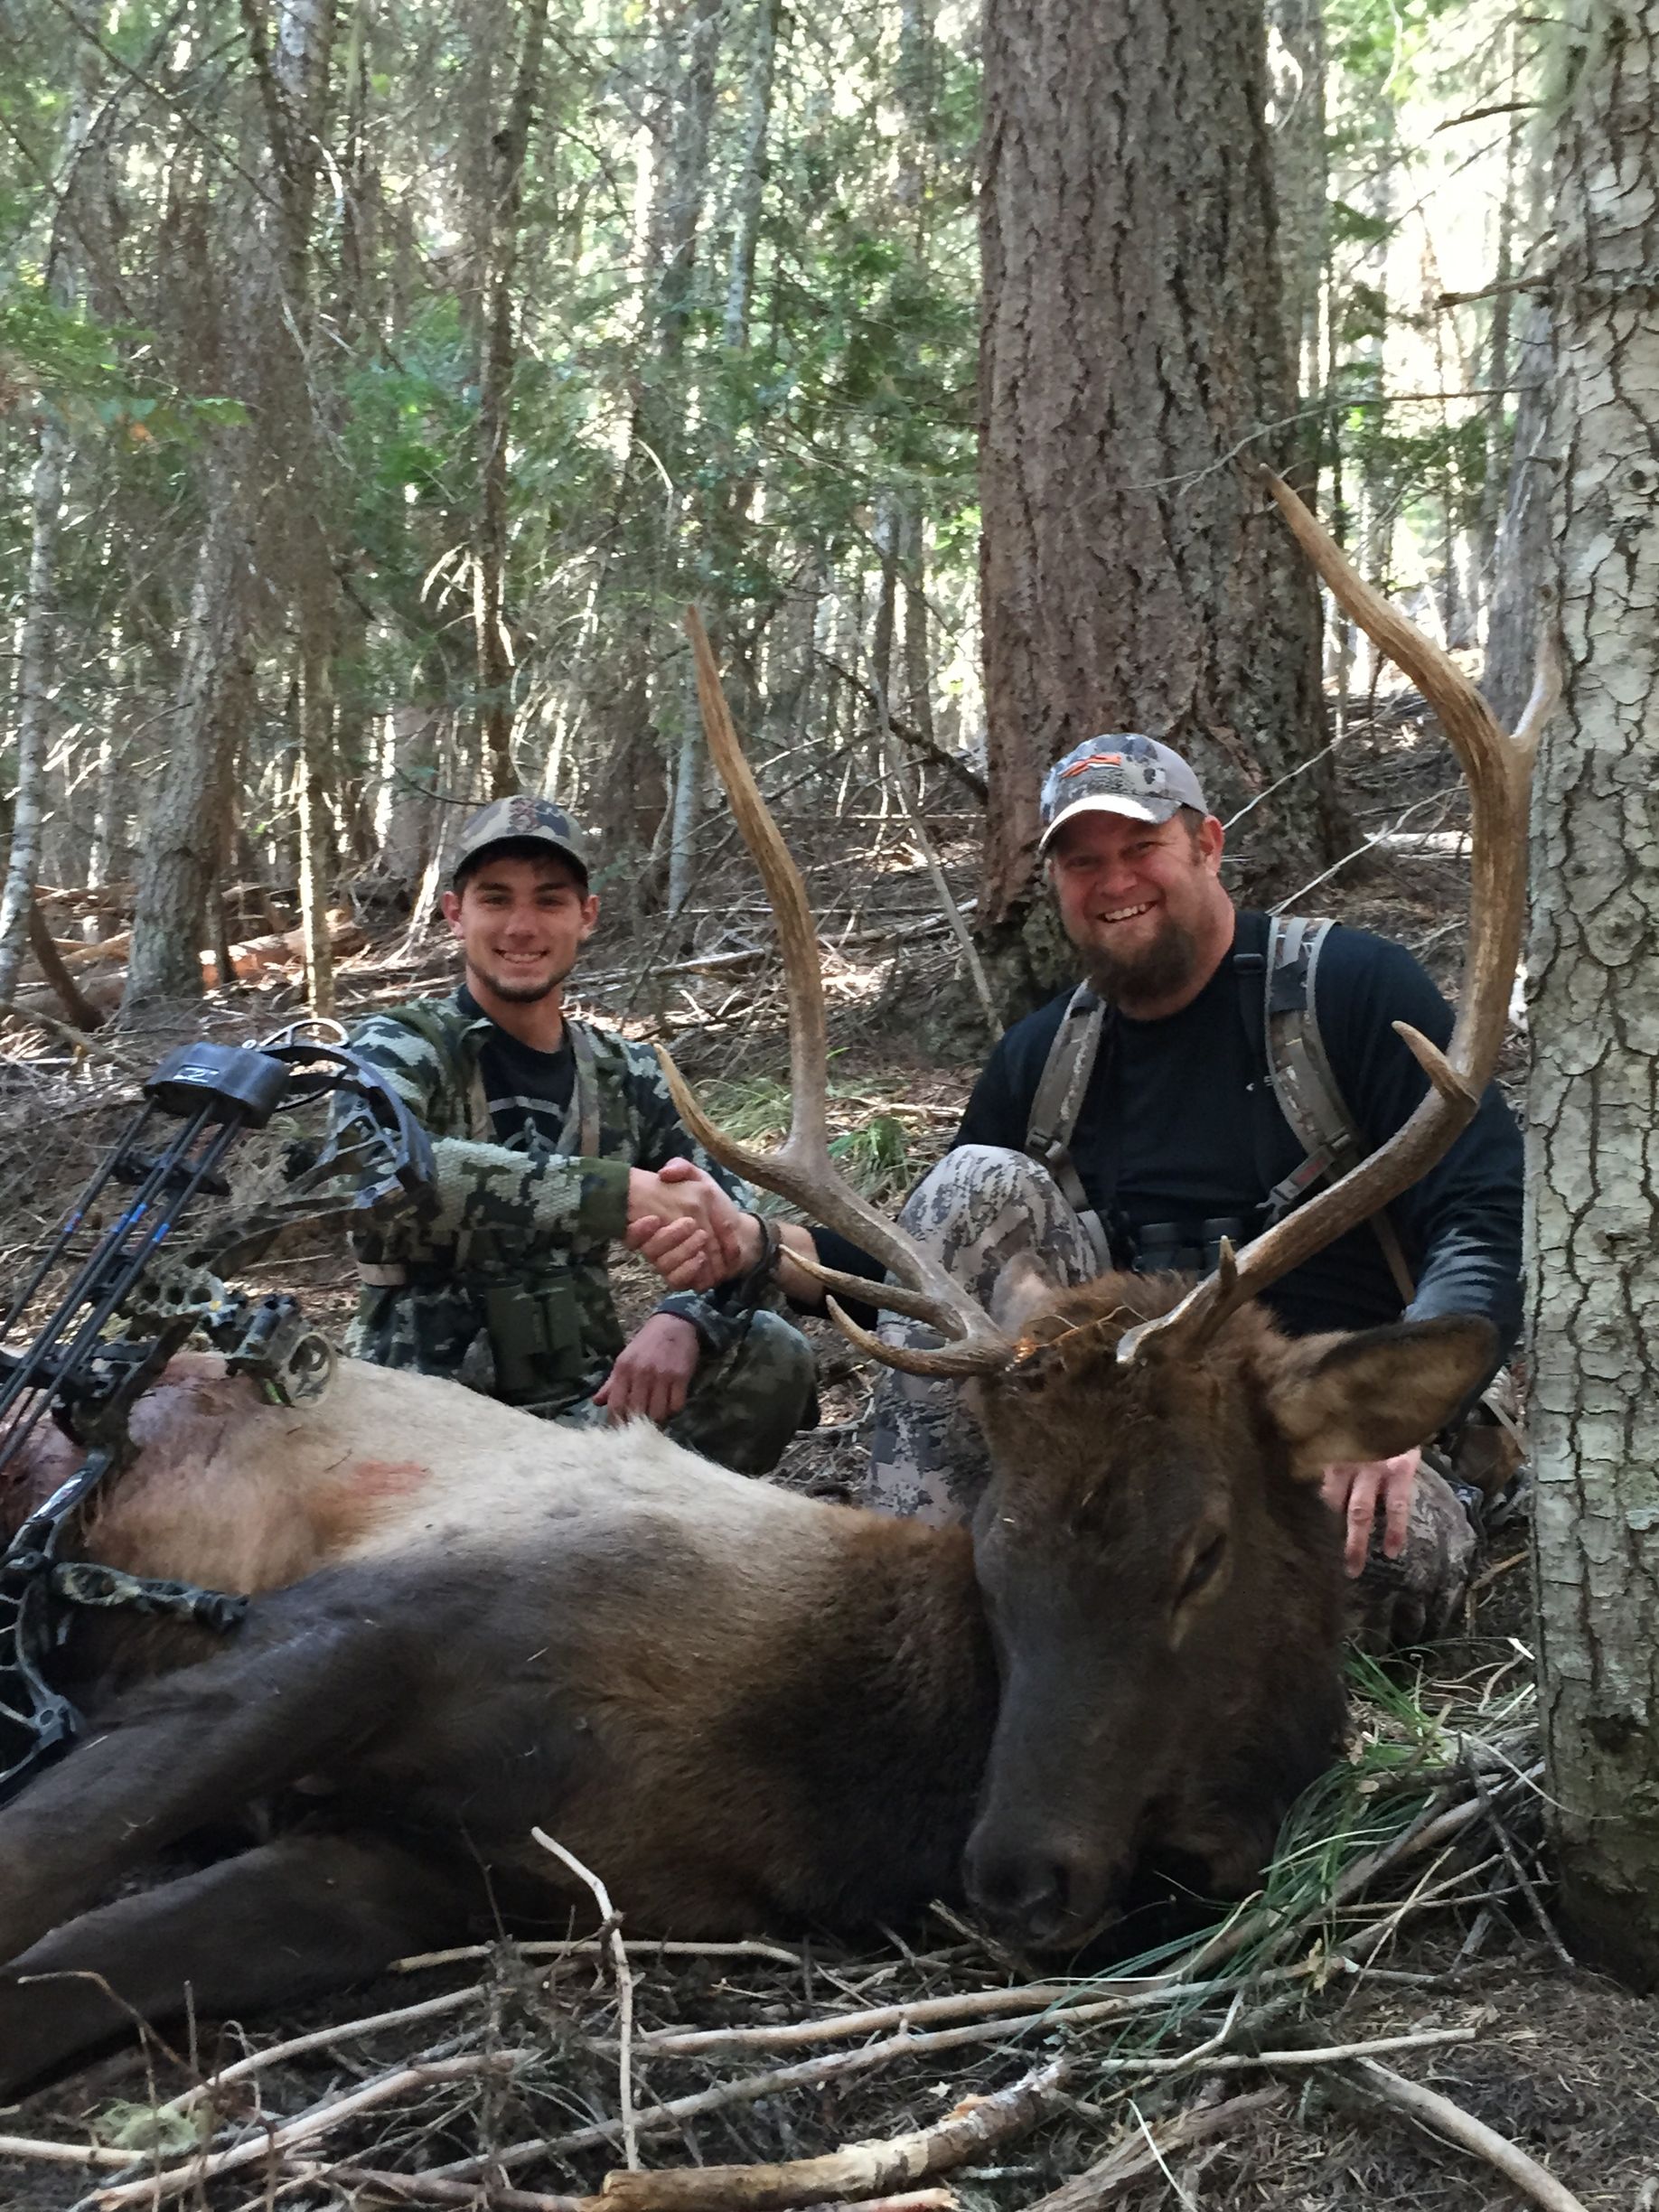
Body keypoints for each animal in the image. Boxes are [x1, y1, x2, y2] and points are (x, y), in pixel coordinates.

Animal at [0, 477, 1536, 2093]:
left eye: (1205, 1551)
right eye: (996, 1547)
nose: (1018, 1874)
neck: (816, 1777)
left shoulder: (422, 1872)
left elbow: (66, 1980)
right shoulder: (338, 1631)